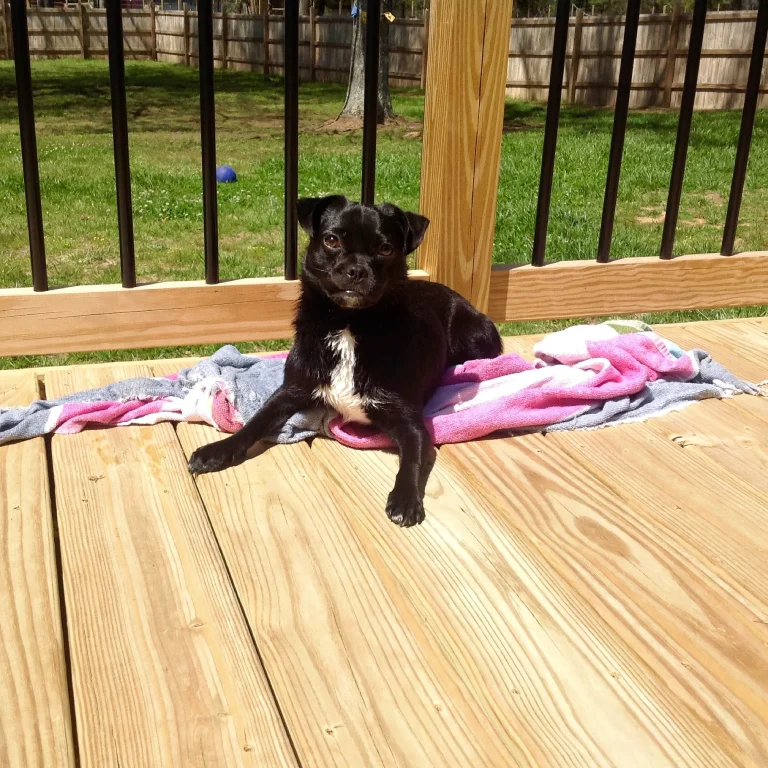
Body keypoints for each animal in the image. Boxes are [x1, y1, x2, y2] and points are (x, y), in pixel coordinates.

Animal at [189, 195, 504, 524]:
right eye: (331, 240)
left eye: (386, 249)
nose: (356, 270)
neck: (349, 325)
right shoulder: (291, 391)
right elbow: (255, 422)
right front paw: (218, 451)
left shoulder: (408, 421)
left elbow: (413, 458)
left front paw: (405, 499)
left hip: (476, 337)